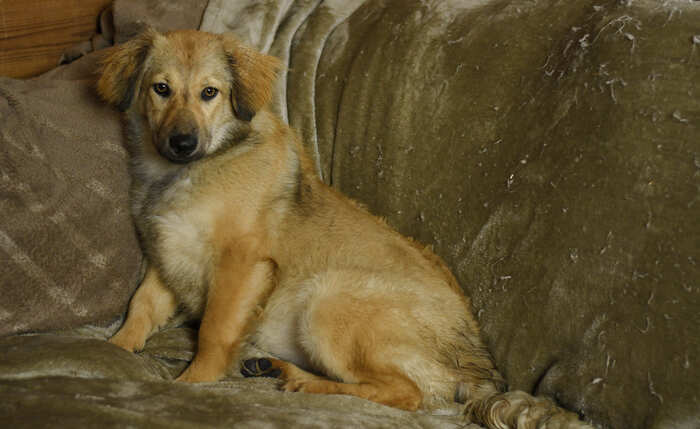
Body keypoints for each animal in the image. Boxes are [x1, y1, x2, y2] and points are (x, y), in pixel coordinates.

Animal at [97, 29, 591, 428]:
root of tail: (478, 369)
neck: (189, 170)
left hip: (329, 298)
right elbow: (141, 308)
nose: (182, 143)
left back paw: (308, 385)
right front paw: (116, 349)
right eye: (161, 89)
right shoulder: (166, 257)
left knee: (405, 392)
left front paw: (191, 383)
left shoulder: (242, 262)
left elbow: (213, 332)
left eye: (209, 93)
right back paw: (279, 369)